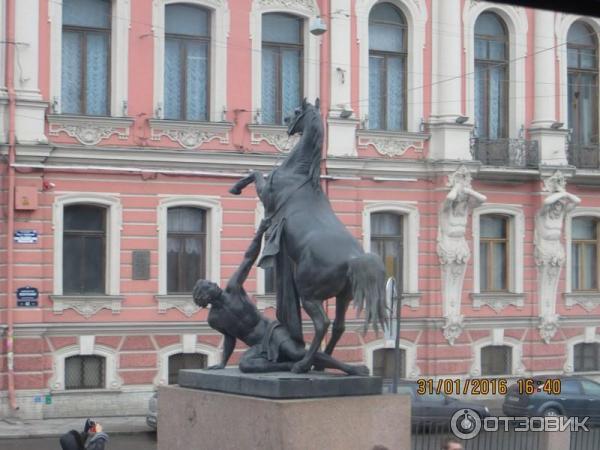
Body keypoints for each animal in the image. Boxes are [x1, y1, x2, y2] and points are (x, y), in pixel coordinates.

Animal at [230, 100, 384, 374]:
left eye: (295, 112)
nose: (285, 121)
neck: (299, 173)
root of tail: (353, 260)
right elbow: (256, 172)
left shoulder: (266, 196)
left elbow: (256, 173)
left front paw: (235, 186)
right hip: (344, 296)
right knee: (338, 326)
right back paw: (322, 365)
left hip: (309, 295)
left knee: (322, 323)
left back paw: (302, 365)